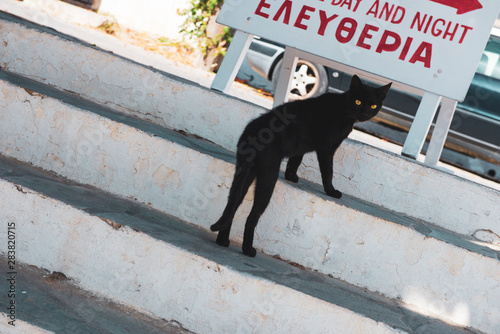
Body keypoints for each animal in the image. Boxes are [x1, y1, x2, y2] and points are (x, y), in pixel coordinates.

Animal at [211, 75, 390, 258]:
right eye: (358, 101)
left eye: (373, 105)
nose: (365, 112)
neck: (344, 109)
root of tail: (252, 131)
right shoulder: (326, 149)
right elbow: (328, 172)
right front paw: (331, 191)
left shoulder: (300, 145)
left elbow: (295, 160)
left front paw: (291, 177)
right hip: (267, 178)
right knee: (251, 218)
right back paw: (248, 249)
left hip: (246, 174)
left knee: (233, 205)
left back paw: (223, 240)